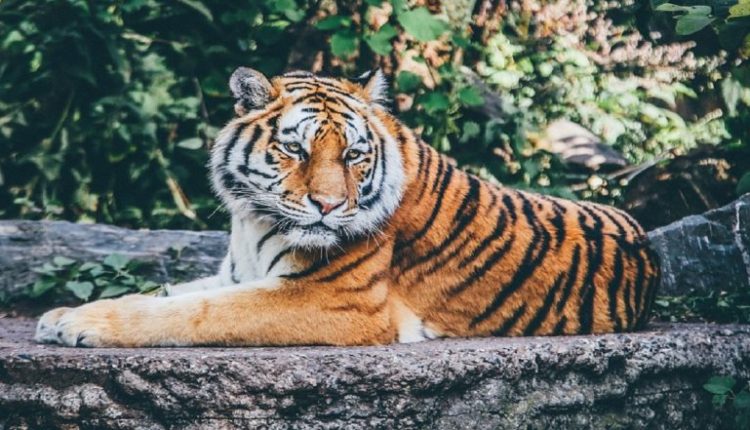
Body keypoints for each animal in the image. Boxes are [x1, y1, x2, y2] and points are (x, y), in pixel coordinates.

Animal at [34, 68, 660, 347]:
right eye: (296, 149)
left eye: (355, 154)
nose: (330, 206)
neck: (252, 221)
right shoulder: (237, 272)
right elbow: (169, 293)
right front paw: (62, 314)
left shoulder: (336, 300)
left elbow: (197, 312)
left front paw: (83, 324)